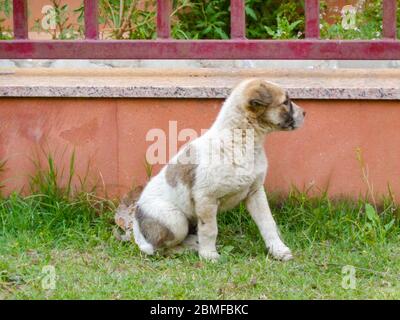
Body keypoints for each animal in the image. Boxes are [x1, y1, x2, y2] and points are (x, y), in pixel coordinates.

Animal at [115, 79, 306, 262]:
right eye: (286, 102)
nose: (305, 113)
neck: (240, 141)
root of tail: (136, 229)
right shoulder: (206, 199)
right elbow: (210, 230)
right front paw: (208, 255)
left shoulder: (255, 192)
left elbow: (268, 223)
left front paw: (278, 250)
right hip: (175, 220)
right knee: (159, 249)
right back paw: (188, 248)